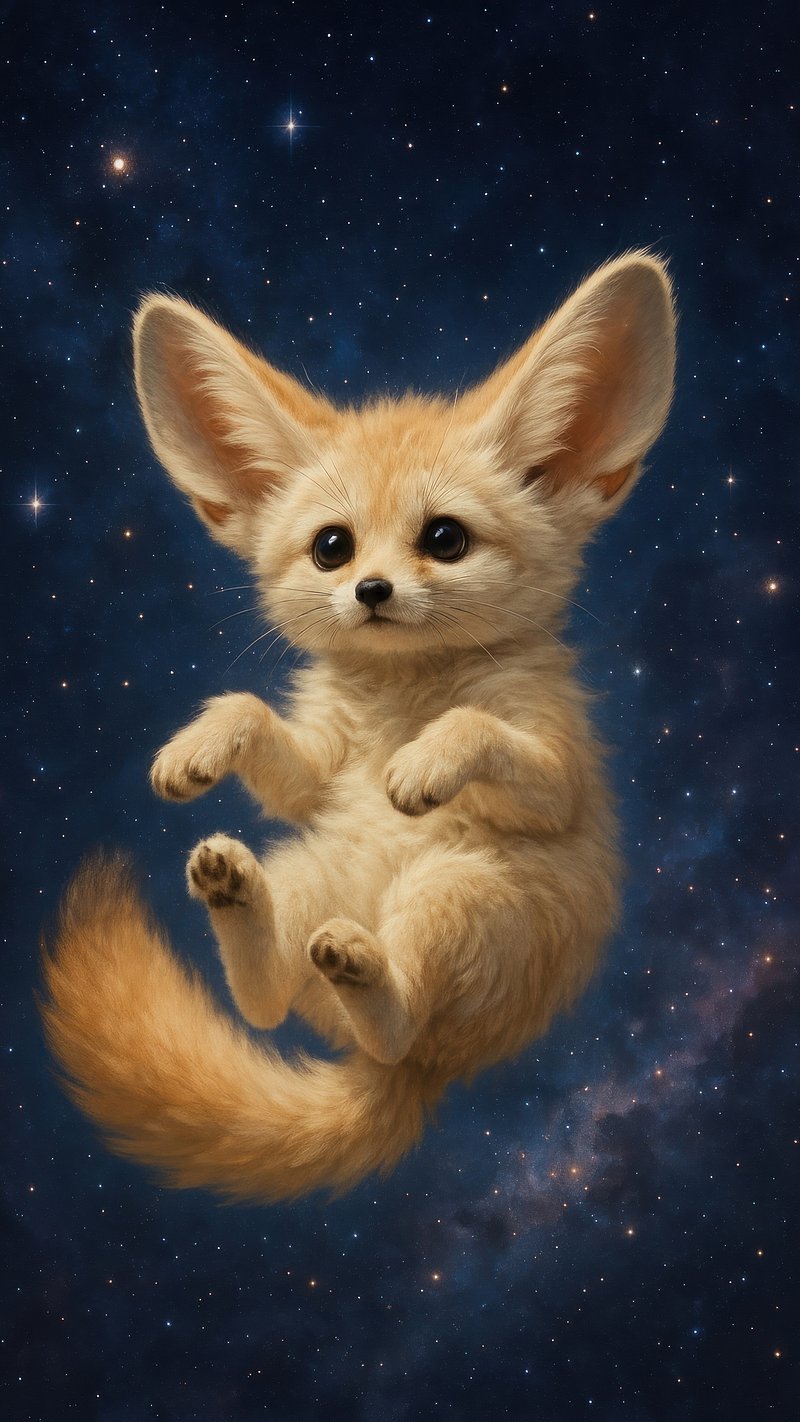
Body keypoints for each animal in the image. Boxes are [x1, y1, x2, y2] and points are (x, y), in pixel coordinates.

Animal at [39, 251, 675, 1204]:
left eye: (444, 539)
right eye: (332, 548)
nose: (371, 592)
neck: (399, 695)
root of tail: (431, 1074)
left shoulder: (555, 770)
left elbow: (477, 726)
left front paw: (425, 764)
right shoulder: (315, 769)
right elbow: (257, 718)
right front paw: (198, 746)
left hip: (461, 892)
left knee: (395, 1022)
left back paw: (367, 969)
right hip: (308, 870)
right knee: (268, 1002)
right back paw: (236, 893)